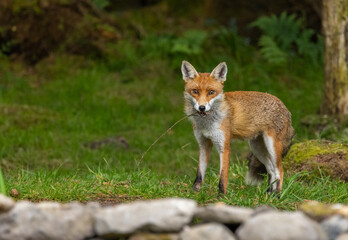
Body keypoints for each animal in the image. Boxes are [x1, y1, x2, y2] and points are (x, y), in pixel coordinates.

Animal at [182, 61, 294, 194]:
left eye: (211, 92)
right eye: (195, 91)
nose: (202, 107)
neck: (206, 124)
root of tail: (285, 106)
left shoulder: (224, 146)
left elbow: (223, 177)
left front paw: (221, 196)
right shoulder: (203, 144)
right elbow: (199, 173)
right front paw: (194, 192)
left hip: (272, 147)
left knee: (279, 171)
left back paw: (276, 195)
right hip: (257, 148)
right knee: (271, 170)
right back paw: (268, 194)